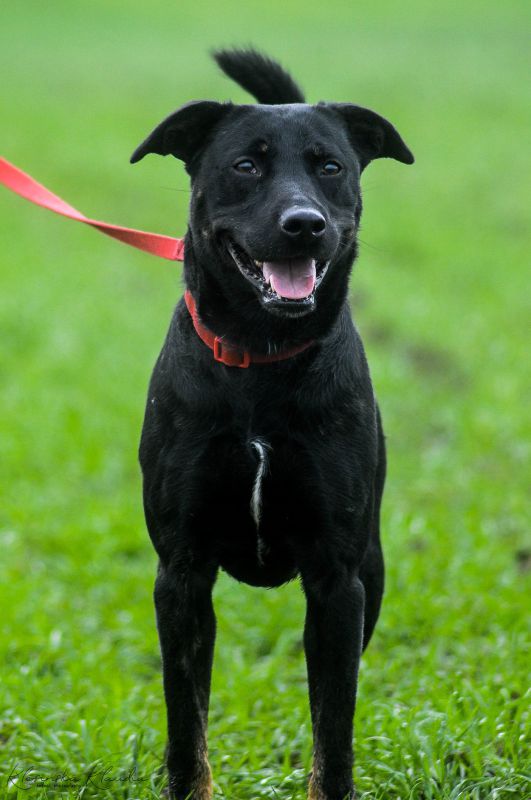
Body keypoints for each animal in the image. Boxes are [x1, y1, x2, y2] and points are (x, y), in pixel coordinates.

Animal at [131, 49, 413, 800]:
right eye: (245, 166)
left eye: (330, 167)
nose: (303, 223)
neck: (259, 357)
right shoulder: (181, 575)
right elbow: (186, 726)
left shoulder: (338, 580)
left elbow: (333, 729)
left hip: (372, 572)